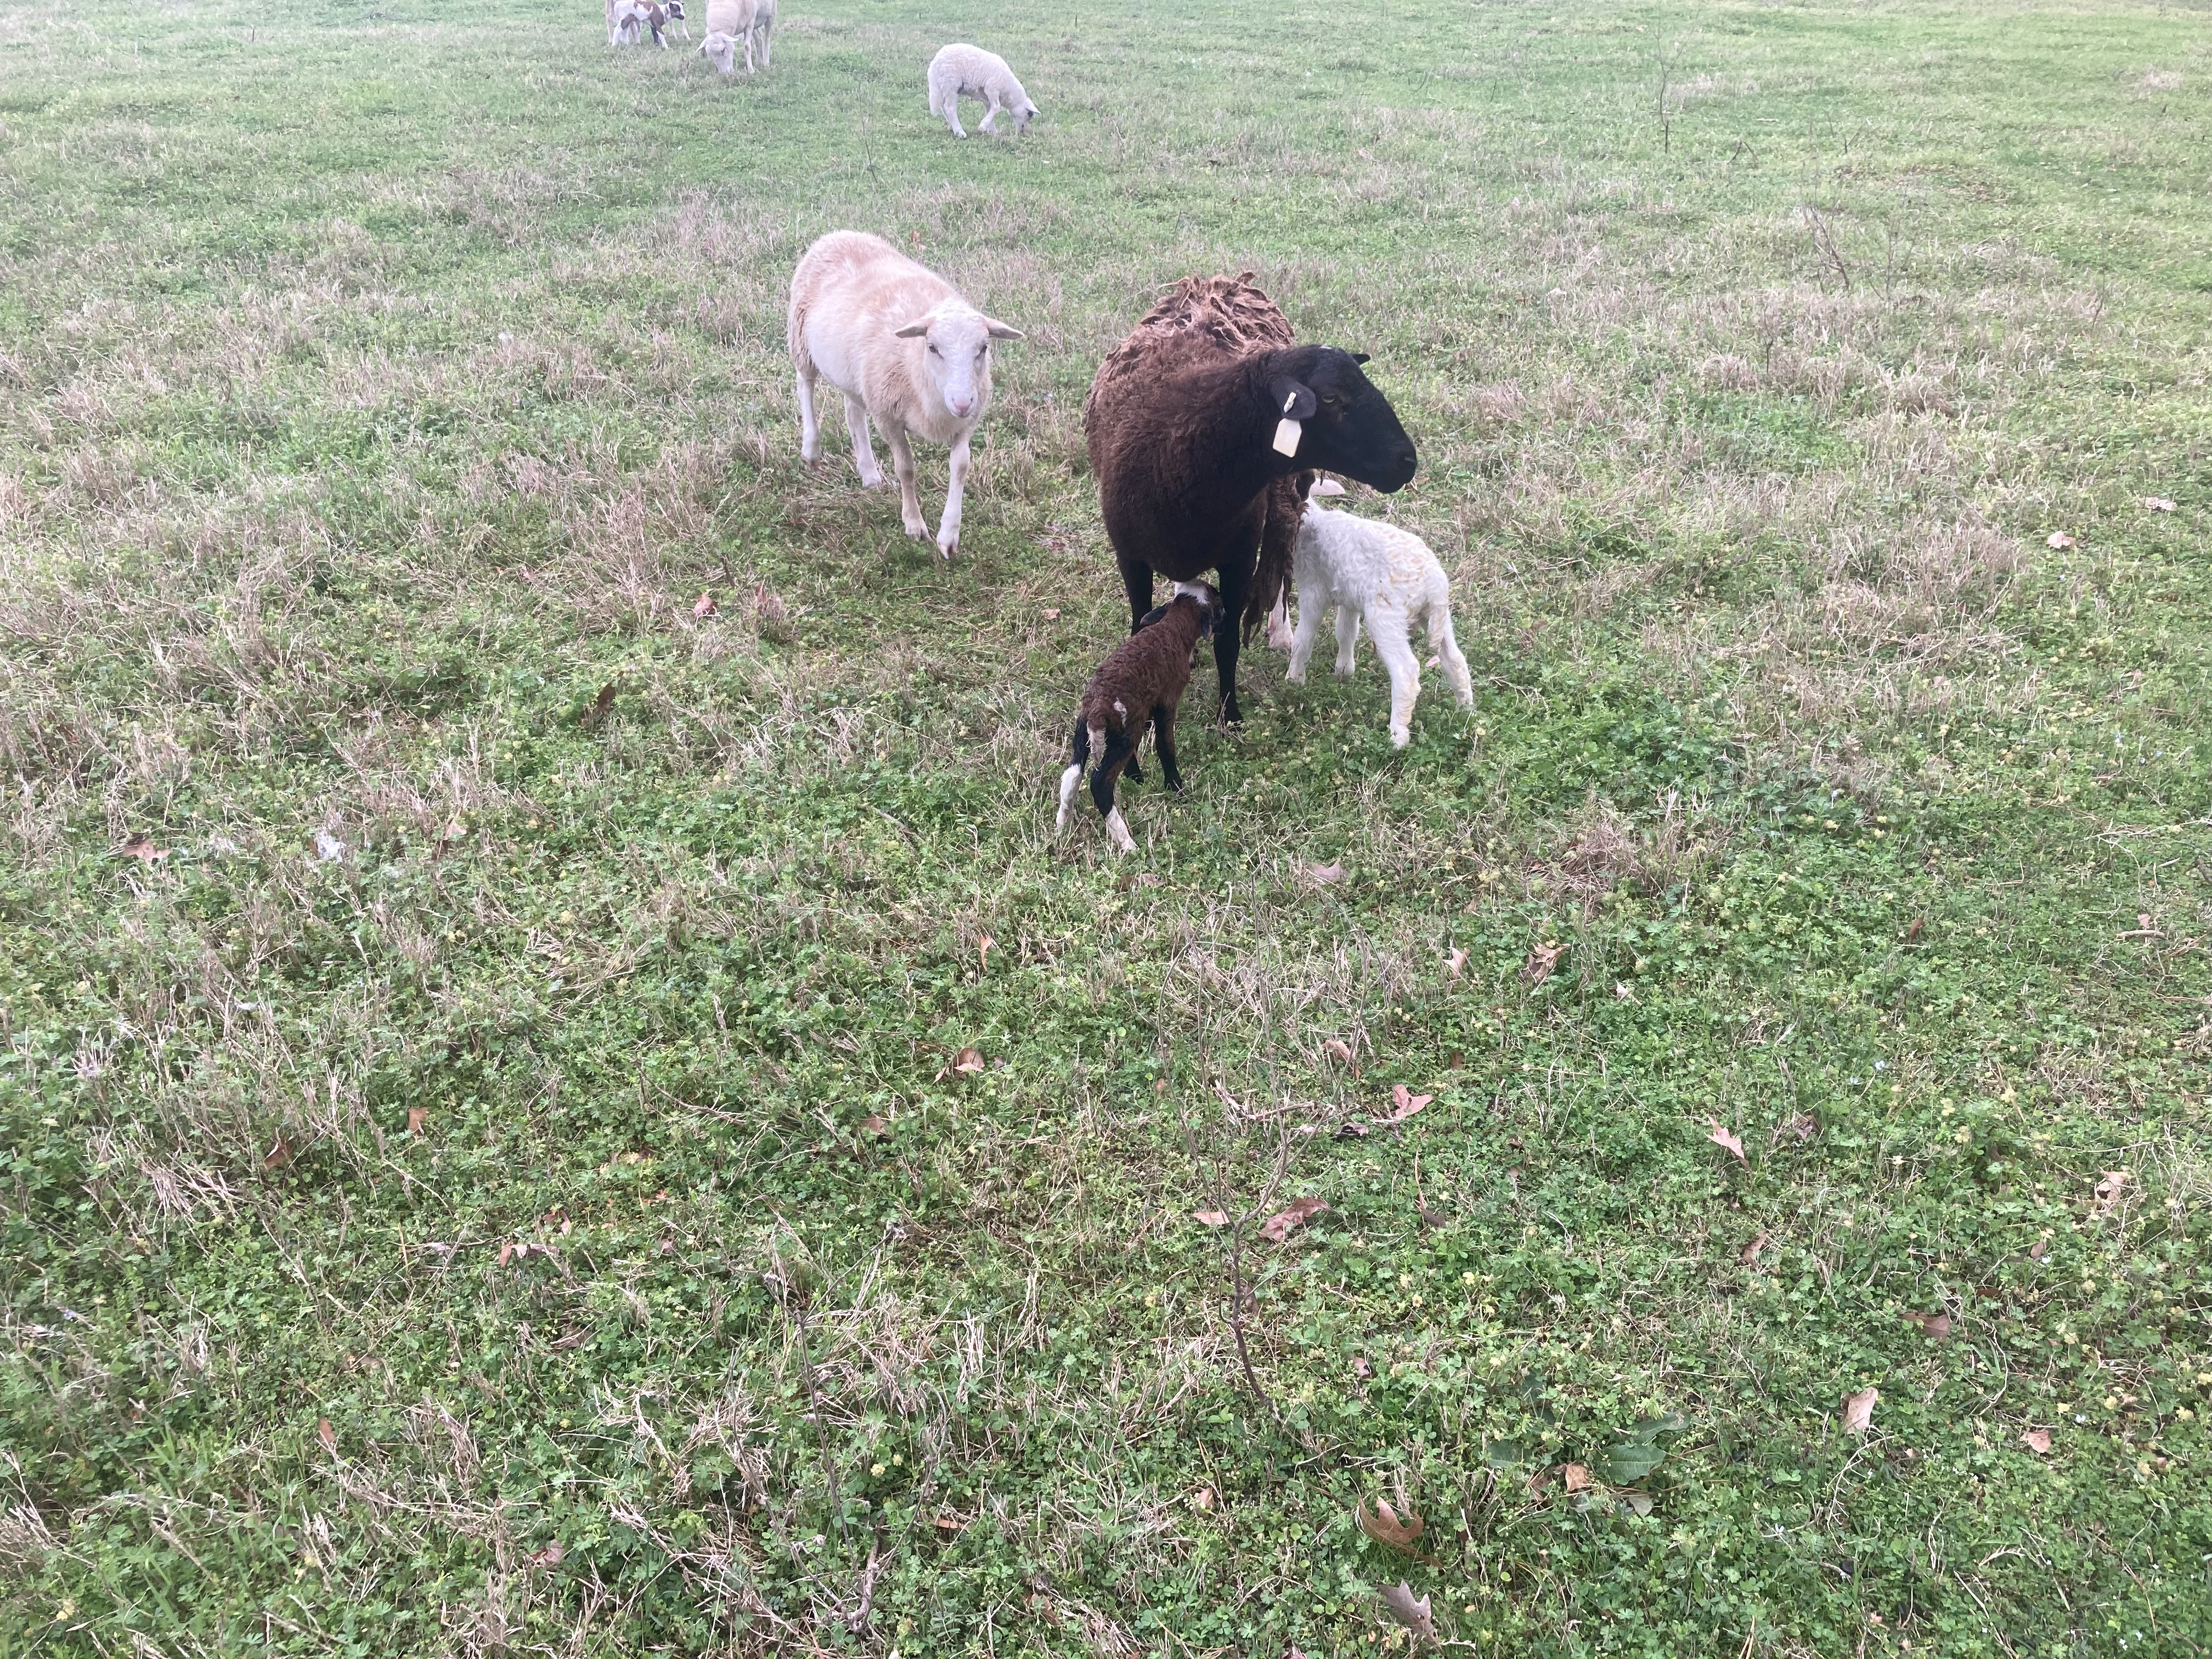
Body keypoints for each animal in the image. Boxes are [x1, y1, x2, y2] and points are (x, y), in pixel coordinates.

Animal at [787, 232, 1021, 560]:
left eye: (983, 348)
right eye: (933, 347)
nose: (962, 402)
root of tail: (838, 234)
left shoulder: (967, 423)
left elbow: (961, 467)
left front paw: (949, 535)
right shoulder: (888, 417)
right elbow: (906, 469)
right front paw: (914, 525)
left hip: (856, 376)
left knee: (853, 411)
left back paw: (869, 473)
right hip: (801, 338)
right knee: (805, 384)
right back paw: (811, 450)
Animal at [927, 44, 1038, 138]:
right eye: (1030, 114)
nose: (1024, 132)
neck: (1009, 90)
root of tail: (934, 65)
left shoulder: (987, 97)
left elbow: (990, 109)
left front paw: (993, 132)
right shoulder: (992, 88)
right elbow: (996, 107)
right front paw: (983, 127)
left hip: (945, 87)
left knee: (944, 107)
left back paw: (953, 128)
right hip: (952, 83)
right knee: (950, 108)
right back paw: (960, 132)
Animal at [1056, 582, 1221, 854]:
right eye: (1219, 603)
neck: (1171, 629)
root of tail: (1098, 708)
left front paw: (1137, 778)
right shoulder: (1167, 702)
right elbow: (1165, 746)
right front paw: (1176, 788)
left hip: (1085, 732)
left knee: (1072, 776)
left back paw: (1062, 826)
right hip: (1124, 734)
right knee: (1100, 783)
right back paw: (1127, 843)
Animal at [1083, 272, 1417, 725]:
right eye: (1331, 398)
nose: (1407, 462)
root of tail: (1215, 283)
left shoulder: (1239, 559)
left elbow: (1228, 642)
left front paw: (1231, 715)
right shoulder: (1131, 557)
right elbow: (1142, 627)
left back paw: (1282, 631)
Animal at [1287, 478, 1474, 747]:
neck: (1311, 524)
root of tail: (1434, 584)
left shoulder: (1313, 590)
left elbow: (1302, 639)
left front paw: (1294, 681)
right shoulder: (1350, 597)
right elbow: (1346, 632)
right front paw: (1344, 672)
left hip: (1386, 618)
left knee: (1406, 672)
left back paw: (1398, 737)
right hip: (1437, 617)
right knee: (1455, 659)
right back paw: (1465, 709)